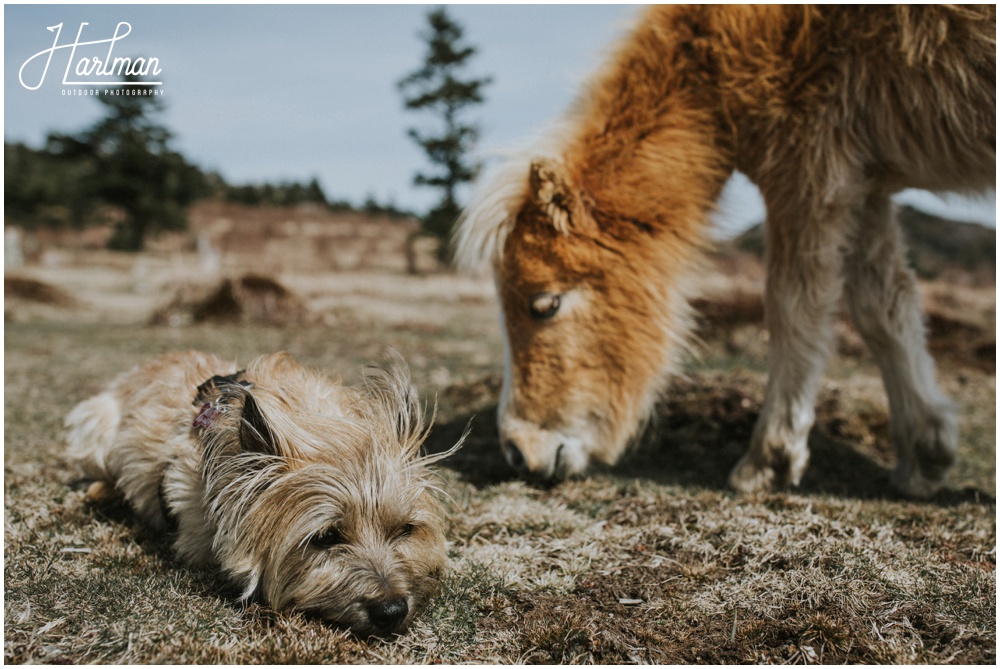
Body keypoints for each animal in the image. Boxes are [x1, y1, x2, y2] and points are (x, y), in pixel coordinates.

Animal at [458, 5, 996, 496]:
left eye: (544, 304)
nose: (518, 452)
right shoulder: (863, 185)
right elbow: (883, 310)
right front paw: (925, 455)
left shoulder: (808, 173)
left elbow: (792, 309)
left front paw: (767, 462)